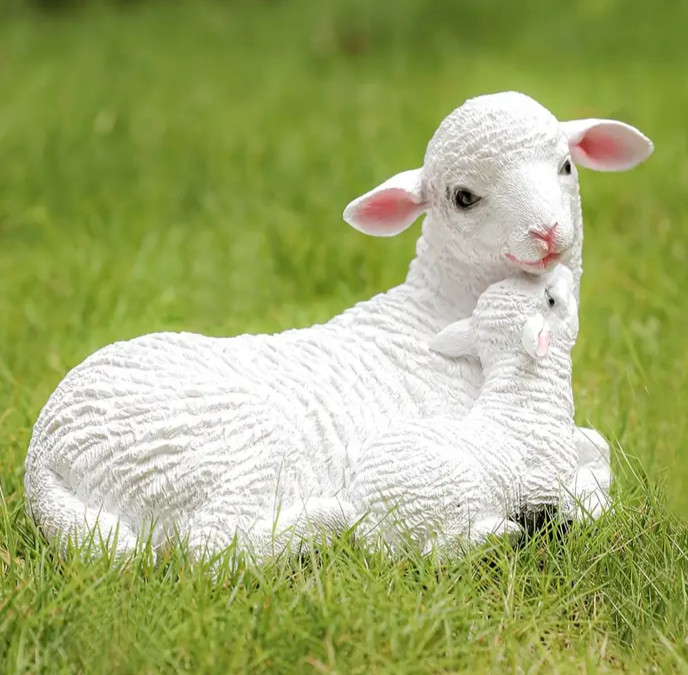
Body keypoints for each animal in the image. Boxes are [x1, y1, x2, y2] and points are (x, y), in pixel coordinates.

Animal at [347, 264, 581, 553]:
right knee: (438, 551)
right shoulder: (544, 489)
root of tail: (374, 528)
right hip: (452, 491)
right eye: (551, 300)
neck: (522, 401)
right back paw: (501, 532)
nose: (562, 268)